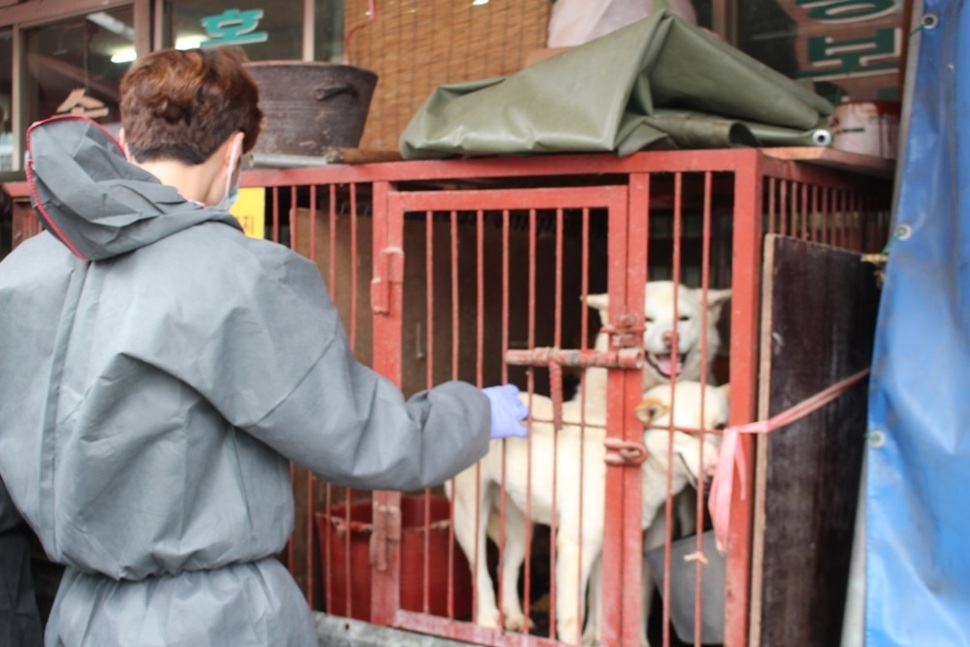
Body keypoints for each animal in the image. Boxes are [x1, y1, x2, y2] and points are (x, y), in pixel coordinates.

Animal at [448, 382, 728, 644]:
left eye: (720, 427)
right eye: (687, 432)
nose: (715, 471)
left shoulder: (607, 550)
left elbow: (604, 607)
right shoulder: (575, 546)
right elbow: (573, 616)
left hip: (521, 532)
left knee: (505, 567)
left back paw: (514, 617)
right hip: (471, 518)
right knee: (480, 570)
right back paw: (486, 620)